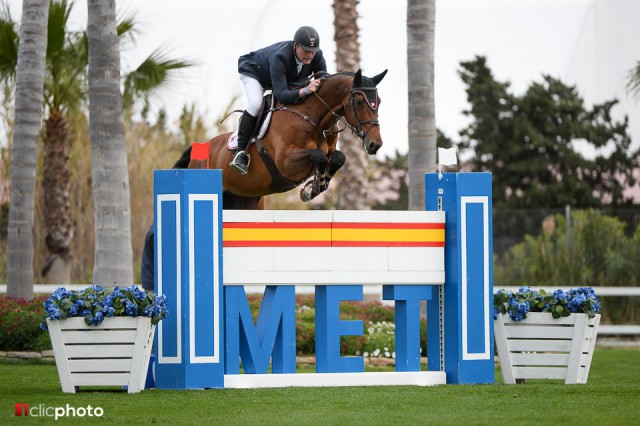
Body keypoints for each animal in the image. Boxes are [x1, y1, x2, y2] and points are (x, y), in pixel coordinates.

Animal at [172, 68, 388, 210]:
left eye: (379, 102)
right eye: (359, 102)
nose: (375, 144)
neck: (313, 119)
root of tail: (199, 148)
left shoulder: (329, 151)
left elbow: (338, 157)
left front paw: (318, 184)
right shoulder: (286, 163)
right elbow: (318, 155)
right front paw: (311, 189)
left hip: (245, 200)